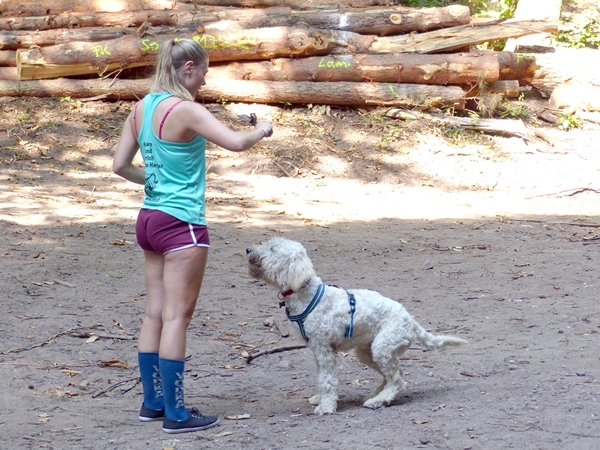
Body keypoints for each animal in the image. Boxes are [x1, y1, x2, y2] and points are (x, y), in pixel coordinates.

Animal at [246, 237, 468, 415]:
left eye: (273, 249)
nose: (248, 249)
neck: (306, 293)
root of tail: (412, 322)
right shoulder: (318, 351)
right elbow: (321, 378)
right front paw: (321, 399)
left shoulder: (324, 350)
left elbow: (327, 380)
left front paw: (326, 406)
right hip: (368, 353)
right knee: (395, 376)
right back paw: (376, 395)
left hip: (382, 348)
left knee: (398, 381)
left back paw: (378, 400)